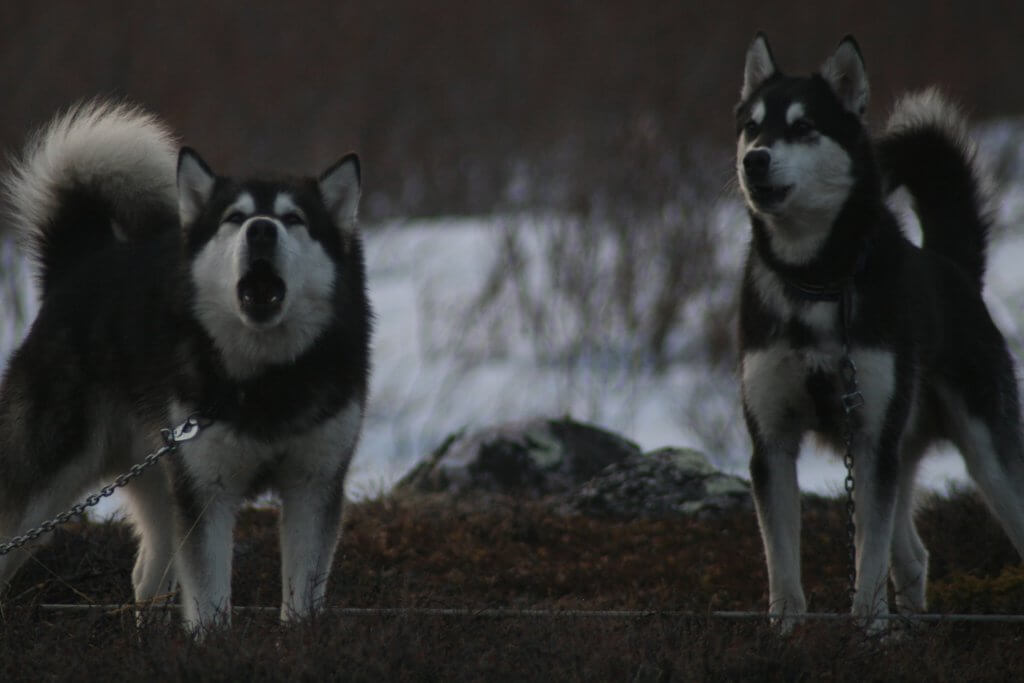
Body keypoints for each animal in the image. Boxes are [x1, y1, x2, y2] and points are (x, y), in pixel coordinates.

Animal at [0, 100, 368, 630]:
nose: (261, 229)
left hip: (158, 477)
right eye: (235, 217)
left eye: (294, 218)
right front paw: (211, 643)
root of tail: (80, 262)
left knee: (147, 574)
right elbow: (209, 599)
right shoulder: (206, 491)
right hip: (45, 483)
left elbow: (302, 595)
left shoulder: (313, 484)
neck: (262, 380)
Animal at [741, 33, 1024, 630]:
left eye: (804, 126)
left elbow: (866, 563)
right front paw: (785, 634)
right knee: (913, 557)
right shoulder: (772, 444)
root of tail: (952, 267)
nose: (755, 160)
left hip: (981, 454)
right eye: (752, 127)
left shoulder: (870, 444)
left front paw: (867, 631)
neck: (818, 279)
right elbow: (783, 569)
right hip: (898, 448)